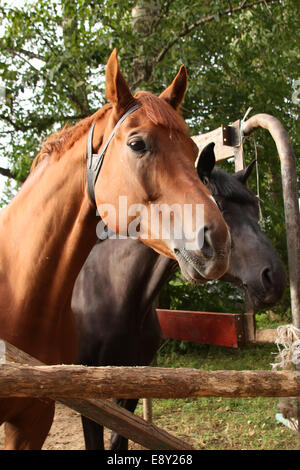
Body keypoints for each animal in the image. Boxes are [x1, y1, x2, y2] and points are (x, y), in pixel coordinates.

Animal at [72, 144, 286, 452]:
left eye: (255, 210)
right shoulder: (86, 394)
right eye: (220, 209)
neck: (114, 293)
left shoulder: (128, 388)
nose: (274, 278)